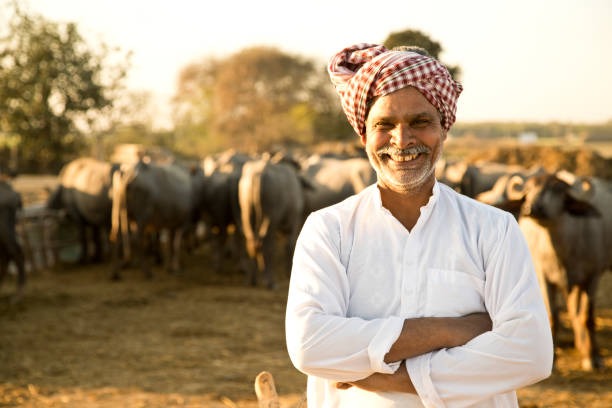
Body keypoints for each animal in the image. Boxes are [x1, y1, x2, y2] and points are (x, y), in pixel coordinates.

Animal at [235, 155, 308, 288]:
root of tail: (257, 175)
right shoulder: (294, 220)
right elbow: (290, 245)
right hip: (270, 217)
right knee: (265, 245)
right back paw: (270, 282)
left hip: (247, 214)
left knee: (252, 243)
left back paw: (252, 279)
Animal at [504, 171, 608, 372]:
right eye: (529, 189)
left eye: (556, 190)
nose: (530, 208)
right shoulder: (543, 277)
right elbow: (553, 316)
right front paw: (552, 361)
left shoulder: (593, 276)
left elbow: (587, 317)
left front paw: (592, 358)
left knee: (578, 312)